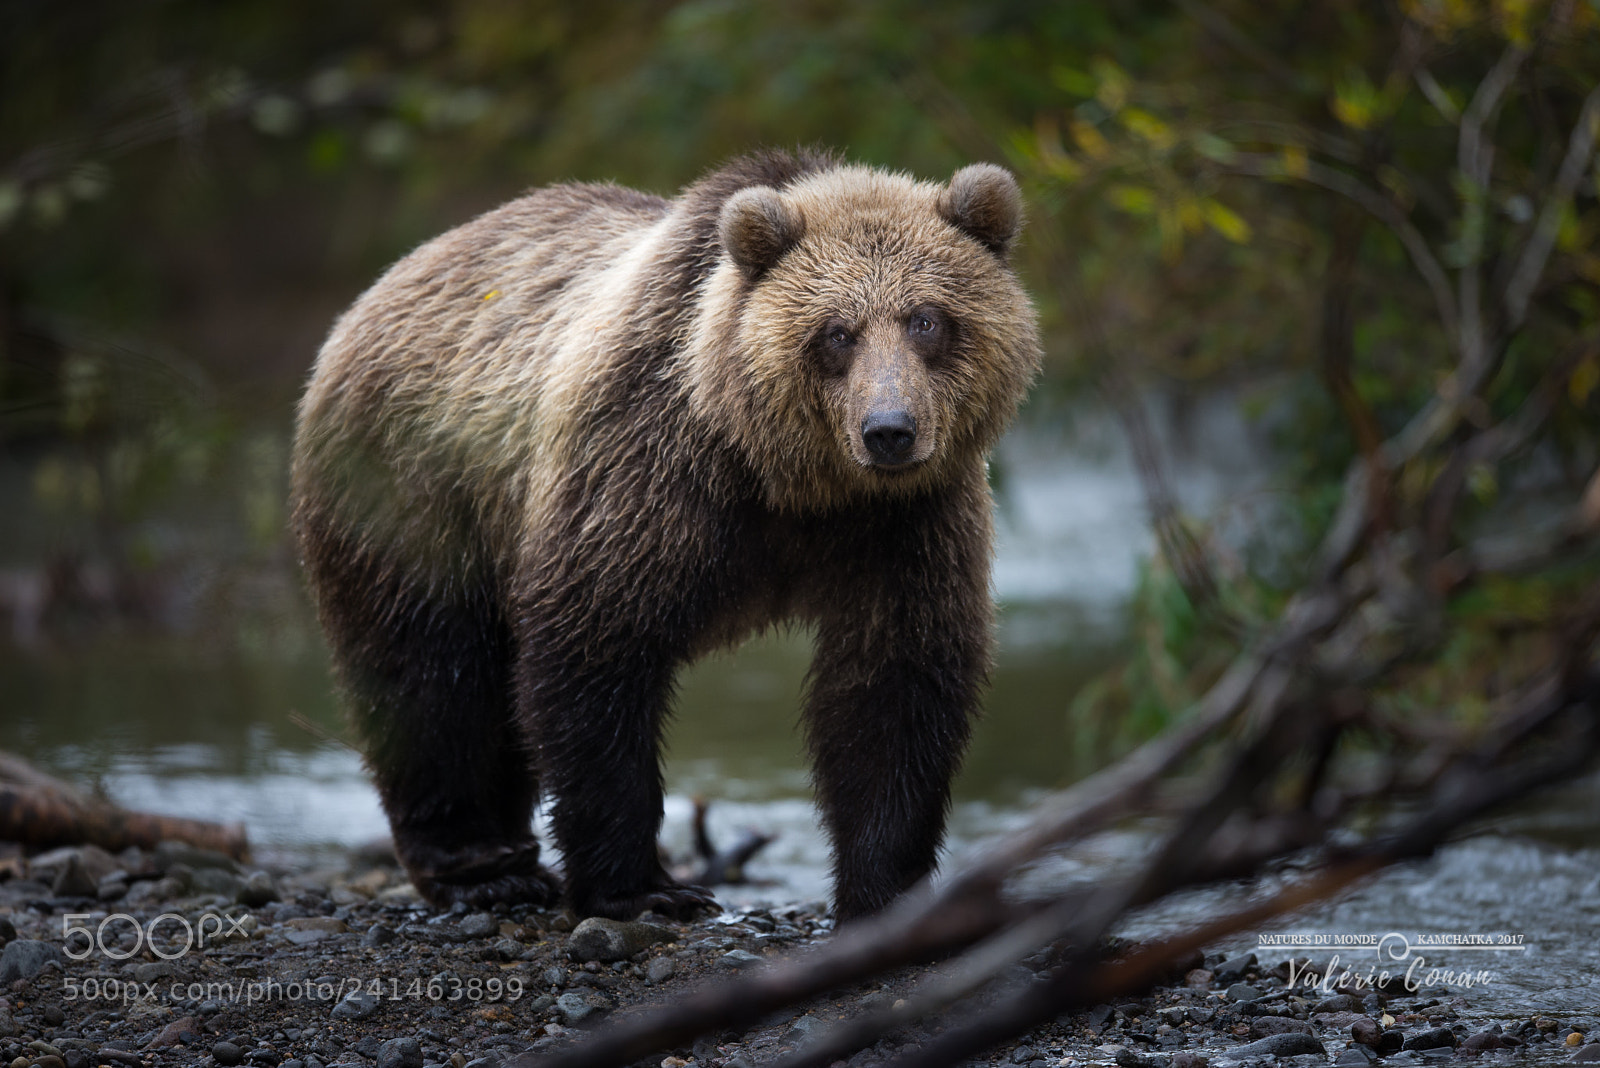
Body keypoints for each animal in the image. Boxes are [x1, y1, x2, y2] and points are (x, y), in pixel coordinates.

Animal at [290, 148, 1040, 922]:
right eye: (837, 332)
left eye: (927, 320)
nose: (889, 429)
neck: (790, 479)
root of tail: (387, 283)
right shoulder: (648, 477)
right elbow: (594, 649)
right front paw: (643, 887)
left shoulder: (907, 524)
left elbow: (895, 683)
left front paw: (886, 889)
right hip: (416, 488)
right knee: (429, 676)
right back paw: (483, 866)